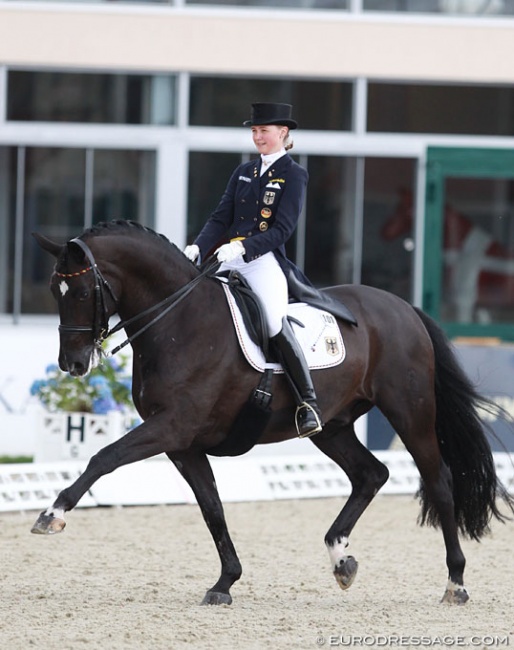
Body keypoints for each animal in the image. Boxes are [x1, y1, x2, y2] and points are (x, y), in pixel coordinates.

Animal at [30, 220, 510, 604]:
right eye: (55, 290)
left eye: (83, 291)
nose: (72, 364)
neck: (179, 321)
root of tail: (403, 307)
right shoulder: (183, 444)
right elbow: (212, 507)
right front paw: (225, 582)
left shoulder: (171, 427)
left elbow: (103, 457)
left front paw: (52, 514)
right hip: (332, 427)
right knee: (371, 474)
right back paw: (340, 558)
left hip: (410, 411)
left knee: (439, 481)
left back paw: (455, 583)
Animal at [380, 187, 514, 322]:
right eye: (397, 207)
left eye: (408, 211)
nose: (385, 232)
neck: (466, 254)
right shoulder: (481, 307)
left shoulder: (465, 303)